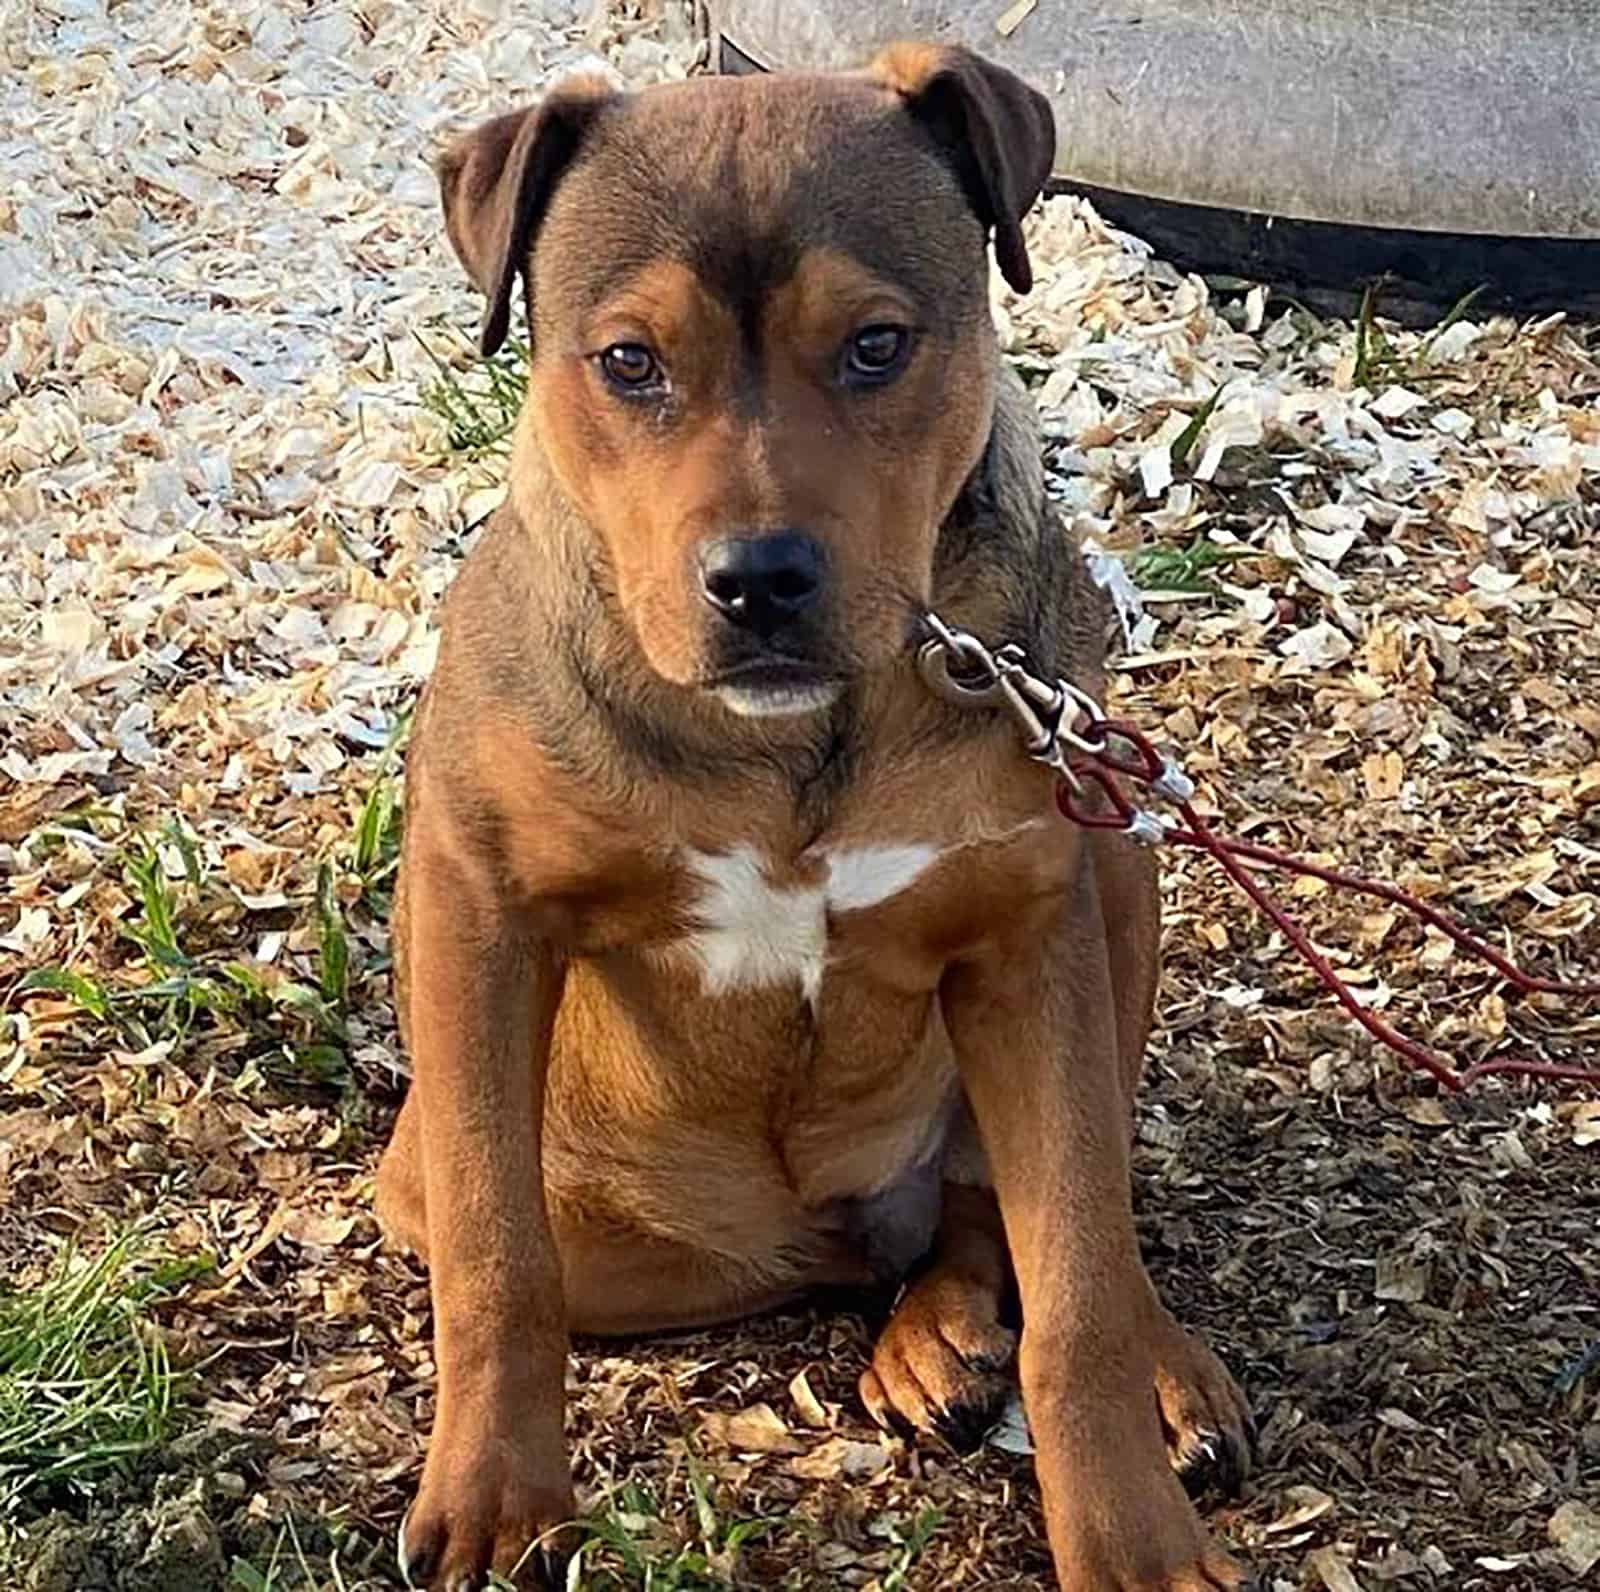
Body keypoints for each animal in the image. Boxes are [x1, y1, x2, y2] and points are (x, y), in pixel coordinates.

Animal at [374, 46, 1248, 1592]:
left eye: (877, 345)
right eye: (629, 362)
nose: (760, 580)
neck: (793, 737)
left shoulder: (1030, 937)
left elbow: (1077, 1270)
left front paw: (1134, 1539)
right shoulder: (476, 904)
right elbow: (496, 1250)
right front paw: (494, 1498)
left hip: (1116, 871)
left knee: (1007, 1210)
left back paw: (1050, 1349)